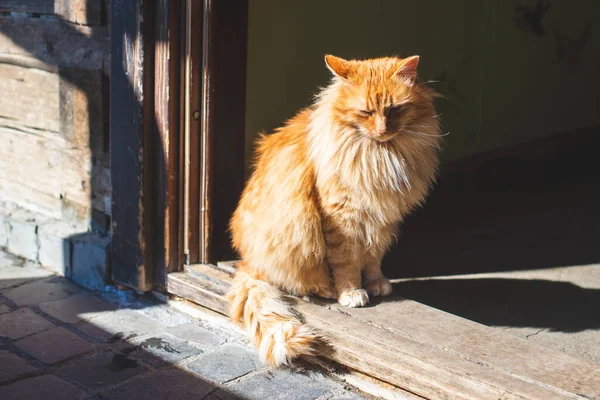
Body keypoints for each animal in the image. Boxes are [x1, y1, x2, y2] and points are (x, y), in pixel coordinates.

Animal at [227, 54, 442, 368]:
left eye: (394, 110)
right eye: (365, 112)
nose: (382, 130)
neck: (381, 156)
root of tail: (247, 261)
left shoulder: (382, 220)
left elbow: (373, 257)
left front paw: (376, 283)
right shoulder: (342, 218)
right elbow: (347, 261)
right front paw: (350, 292)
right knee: (297, 281)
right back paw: (325, 289)